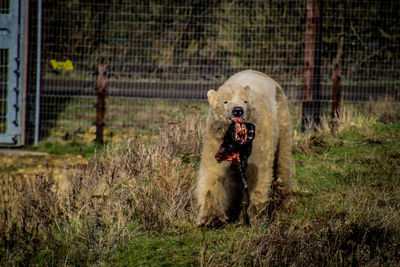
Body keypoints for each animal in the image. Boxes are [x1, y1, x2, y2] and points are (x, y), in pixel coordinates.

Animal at [195, 70, 292, 227]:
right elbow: (213, 172)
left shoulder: (258, 140)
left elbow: (258, 173)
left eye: (245, 101)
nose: (237, 111)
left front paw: (255, 217)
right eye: (225, 101)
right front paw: (210, 218)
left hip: (281, 114)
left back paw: (283, 205)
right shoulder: (215, 139)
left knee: (282, 162)